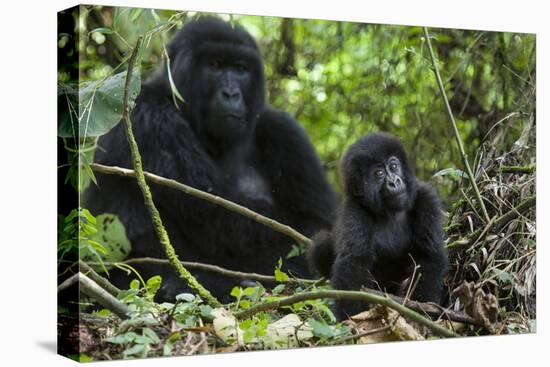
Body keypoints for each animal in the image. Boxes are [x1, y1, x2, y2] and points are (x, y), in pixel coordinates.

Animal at [84, 15, 338, 300]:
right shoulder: (148, 115)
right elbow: (223, 221)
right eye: (214, 65)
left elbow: (316, 221)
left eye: (240, 68)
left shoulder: (286, 132)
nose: (231, 94)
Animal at [308, 134, 450, 320]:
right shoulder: (354, 211)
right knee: (322, 243)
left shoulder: (426, 197)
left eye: (394, 166)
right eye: (379, 174)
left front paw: (422, 307)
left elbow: (428, 256)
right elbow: (354, 263)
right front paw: (351, 319)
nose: (394, 182)